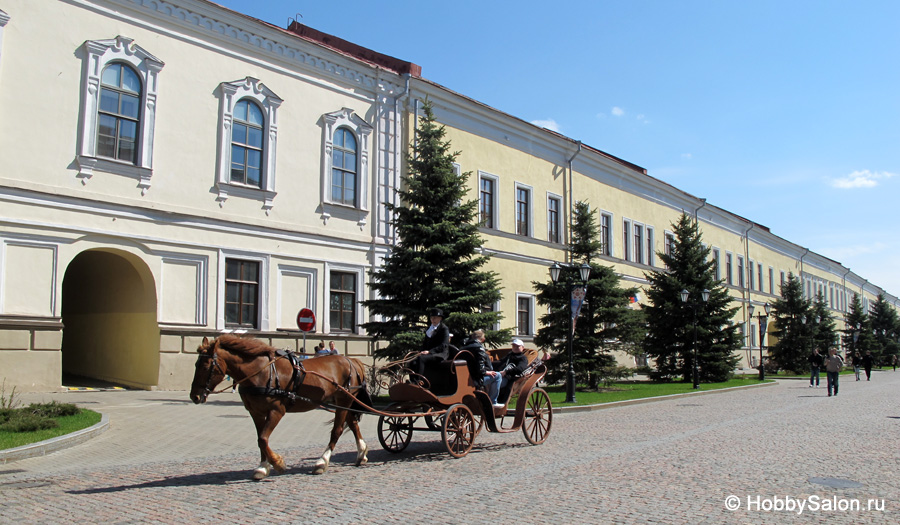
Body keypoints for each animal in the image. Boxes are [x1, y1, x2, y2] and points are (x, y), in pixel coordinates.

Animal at [190, 336, 372, 478]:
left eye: (205, 366)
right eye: (195, 364)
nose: (194, 396)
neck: (261, 372)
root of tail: (352, 360)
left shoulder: (276, 411)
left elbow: (263, 439)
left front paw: (277, 463)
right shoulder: (256, 412)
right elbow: (260, 439)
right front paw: (263, 467)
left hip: (343, 401)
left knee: (337, 430)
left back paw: (322, 461)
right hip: (343, 402)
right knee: (353, 424)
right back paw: (361, 454)